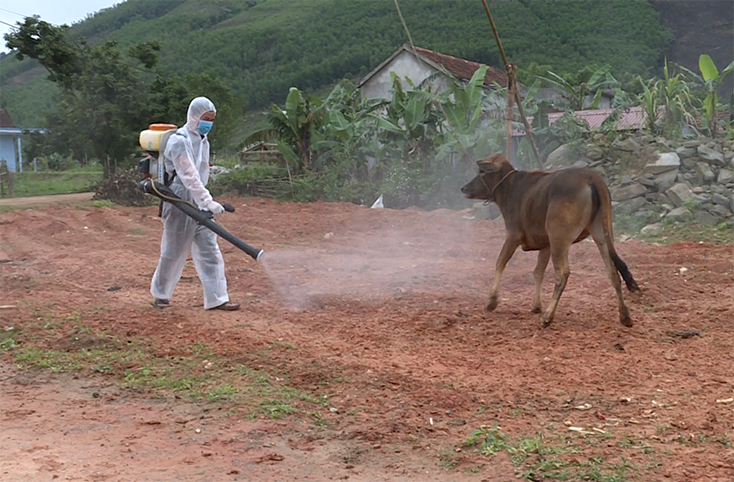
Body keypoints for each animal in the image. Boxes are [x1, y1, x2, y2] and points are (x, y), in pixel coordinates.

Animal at [460, 154, 640, 328]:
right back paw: (625, 316)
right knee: (613, 271)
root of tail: (591, 177)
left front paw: (491, 301)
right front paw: (536, 306)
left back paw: (547, 317)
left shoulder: (513, 235)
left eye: (481, 171)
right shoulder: (545, 244)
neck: (511, 187)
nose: (463, 188)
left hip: (559, 237)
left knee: (563, 272)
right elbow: (538, 272)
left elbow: (500, 263)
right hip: (600, 234)